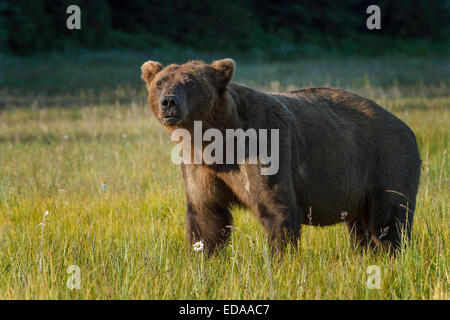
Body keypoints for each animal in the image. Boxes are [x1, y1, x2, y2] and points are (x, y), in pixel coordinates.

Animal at [142, 58, 422, 254]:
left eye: (191, 82)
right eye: (160, 82)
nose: (169, 102)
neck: (217, 142)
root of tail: (405, 126)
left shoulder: (262, 148)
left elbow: (276, 210)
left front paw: (279, 259)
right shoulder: (199, 166)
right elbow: (206, 213)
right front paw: (204, 258)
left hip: (385, 162)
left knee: (388, 221)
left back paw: (389, 253)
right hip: (356, 188)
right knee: (359, 228)